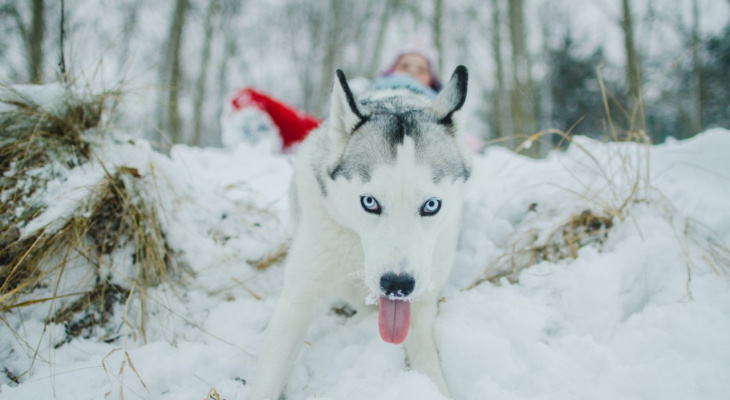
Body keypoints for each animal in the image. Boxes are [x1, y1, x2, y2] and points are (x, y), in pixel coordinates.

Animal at [252, 66, 472, 400]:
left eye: (431, 205)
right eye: (370, 202)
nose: (397, 285)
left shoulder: (420, 306)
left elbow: (429, 368)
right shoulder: (298, 297)